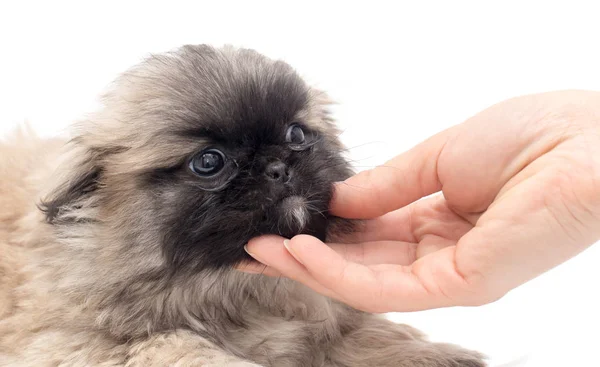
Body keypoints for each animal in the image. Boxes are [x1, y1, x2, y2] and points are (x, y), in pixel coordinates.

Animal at [0, 44, 482, 366]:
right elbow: (176, 345)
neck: (228, 283)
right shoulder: (74, 343)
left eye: (295, 135)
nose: (277, 166)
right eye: (208, 162)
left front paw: (428, 353)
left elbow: (369, 334)